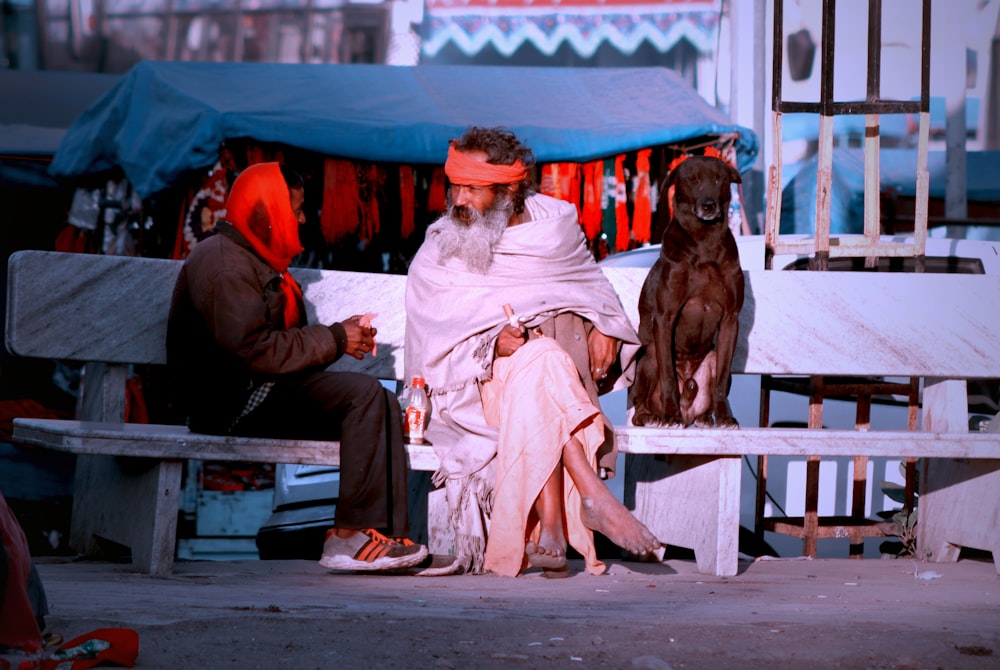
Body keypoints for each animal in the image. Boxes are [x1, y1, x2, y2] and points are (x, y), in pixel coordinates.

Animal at [632, 156, 744, 430]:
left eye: (719, 179)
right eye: (692, 180)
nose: (708, 205)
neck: (704, 242)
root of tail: (688, 412)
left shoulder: (731, 319)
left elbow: (721, 380)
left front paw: (724, 417)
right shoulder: (665, 317)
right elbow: (668, 377)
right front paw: (670, 415)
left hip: (712, 356)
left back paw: (705, 417)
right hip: (649, 356)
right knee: (640, 401)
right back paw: (653, 416)